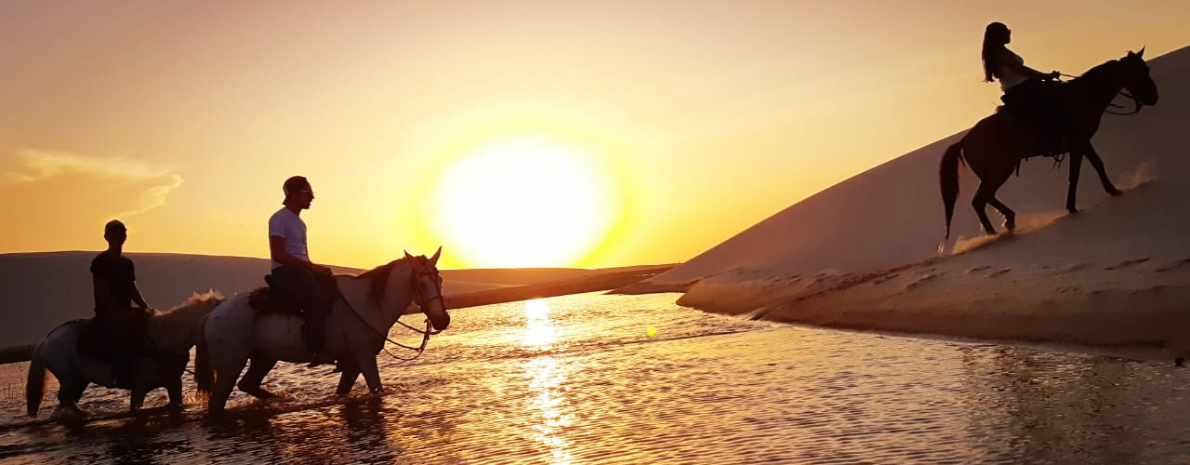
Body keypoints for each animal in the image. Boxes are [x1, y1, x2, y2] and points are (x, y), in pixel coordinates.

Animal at [24, 291, 224, 418]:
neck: (162, 339)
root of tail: (47, 340)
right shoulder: (139, 387)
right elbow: (134, 409)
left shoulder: (174, 384)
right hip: (68, 377)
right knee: (65, 399)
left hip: (79, 379)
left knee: (67, 399)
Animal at [197, 249, 447, 416]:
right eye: (421, 284)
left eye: (440, 279)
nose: (442, 320)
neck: (368, 303)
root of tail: (212, 313)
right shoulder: (364, 357)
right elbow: (376, 388)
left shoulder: (352, 363)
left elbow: (342, 393)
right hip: (230, 365)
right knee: (218, 402)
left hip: (263, 357)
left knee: (248, 385)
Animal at [937, 49, 1161, 239]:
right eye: (1139, 71)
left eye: (1147, 69)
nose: (1154, 97)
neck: (1083, 97)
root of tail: (965, 140)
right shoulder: (1078, 143)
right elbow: (1075, 175)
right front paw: (1072, 207)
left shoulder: (1083, 142)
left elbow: (1097, 164)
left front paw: (1113, 190)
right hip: (999, 171)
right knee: (980, 199)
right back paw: (996, 231)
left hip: (996, 173)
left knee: (985, 198)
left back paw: (1007, 222)